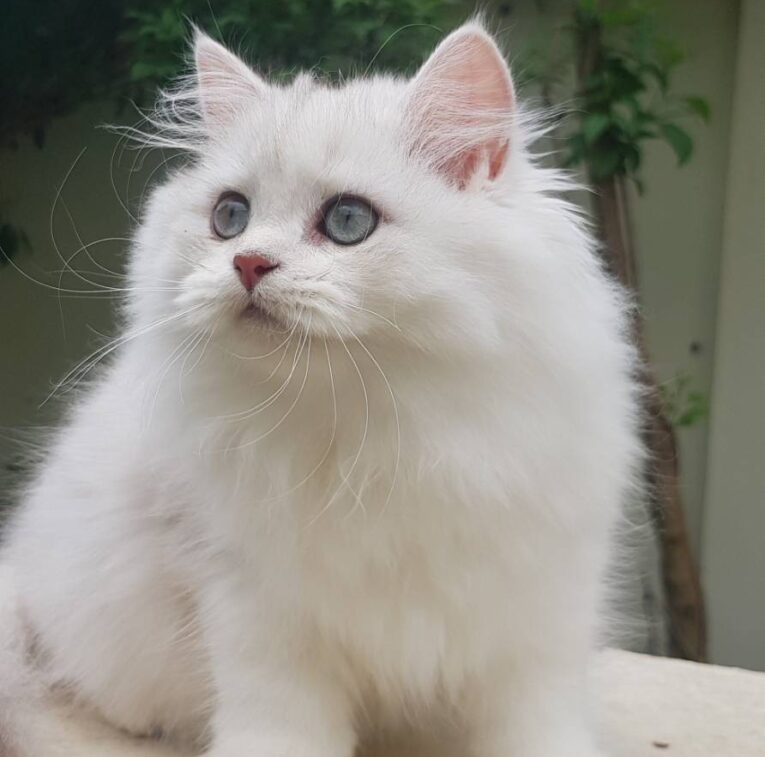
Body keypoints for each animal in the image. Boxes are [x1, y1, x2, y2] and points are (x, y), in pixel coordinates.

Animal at [2, 20, 640, 756]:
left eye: (347, 222)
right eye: (229, 216)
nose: (248, 263)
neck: (376, 430)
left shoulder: (539, 610)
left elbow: (539, 723)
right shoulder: (256, 608)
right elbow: (278, 724)